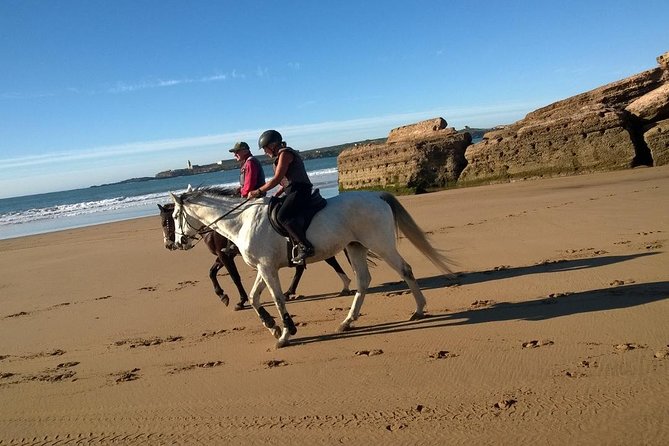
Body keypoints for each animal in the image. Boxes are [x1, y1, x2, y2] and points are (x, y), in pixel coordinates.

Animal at [159, 203, 352, 310]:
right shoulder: (222, 256)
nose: (169, 244)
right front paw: (223, 295)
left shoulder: (225, 256)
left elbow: (234, 277)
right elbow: (212, 272)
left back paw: (344, 285)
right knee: (302, 267)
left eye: (165, 222)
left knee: (329, 262)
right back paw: (290, 291)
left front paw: (240, 300)